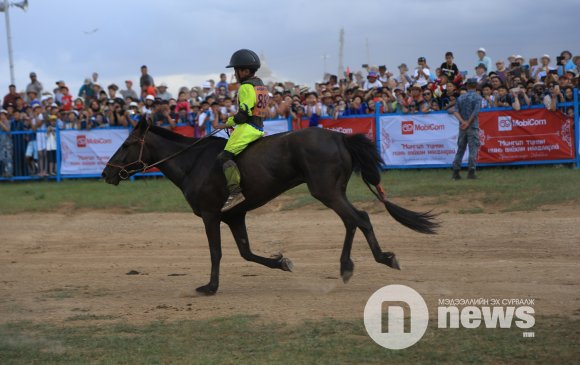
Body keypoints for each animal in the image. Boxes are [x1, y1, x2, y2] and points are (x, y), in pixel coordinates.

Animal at [102, 121, 438, 294]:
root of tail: (338, 136)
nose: (106, 173)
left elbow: (216, 252)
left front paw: (210, 286)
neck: (193, 162)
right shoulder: (235, 216)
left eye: (127, 144)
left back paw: (380, 259)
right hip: (334, 192)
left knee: (360, 218)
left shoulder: (211, 216)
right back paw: (347, 265)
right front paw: (282, 262)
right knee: (354, 220)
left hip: (326, 191)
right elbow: (246, 253)